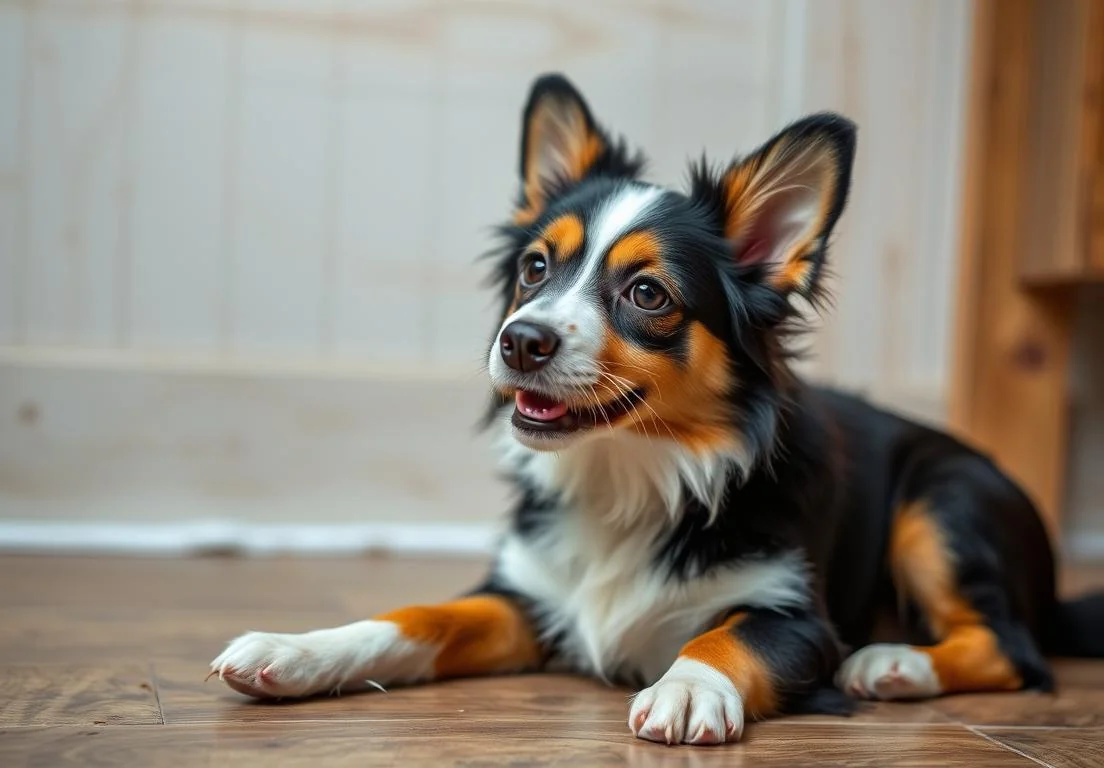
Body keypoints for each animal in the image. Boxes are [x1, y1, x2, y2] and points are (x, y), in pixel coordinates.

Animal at [213, 71, 1104, 745]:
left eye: (648, 294)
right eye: (535, 268)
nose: (519, 340)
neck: (629, 473)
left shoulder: (795, 617)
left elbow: (724, 633)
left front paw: (688, 687)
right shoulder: (524, 597)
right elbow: (416, 616)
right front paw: (298, 649)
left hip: (940, 504)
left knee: (1016, 650)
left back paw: (893, 662)